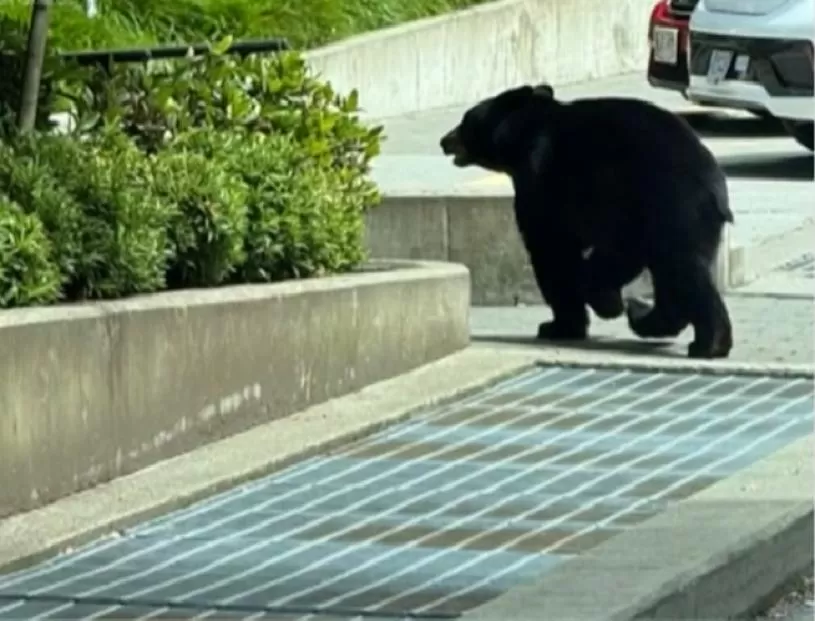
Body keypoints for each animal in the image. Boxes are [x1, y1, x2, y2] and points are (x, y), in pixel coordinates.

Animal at [439, 83, 734, 359]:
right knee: (674, 272)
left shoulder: (543, 181)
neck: (522, 134)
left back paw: (707, 342)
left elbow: (552, 249)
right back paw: (651, 318)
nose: (444, 140)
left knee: (682, 269)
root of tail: (714, 187)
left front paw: (564, 323)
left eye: (466, 119)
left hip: (673, 206)